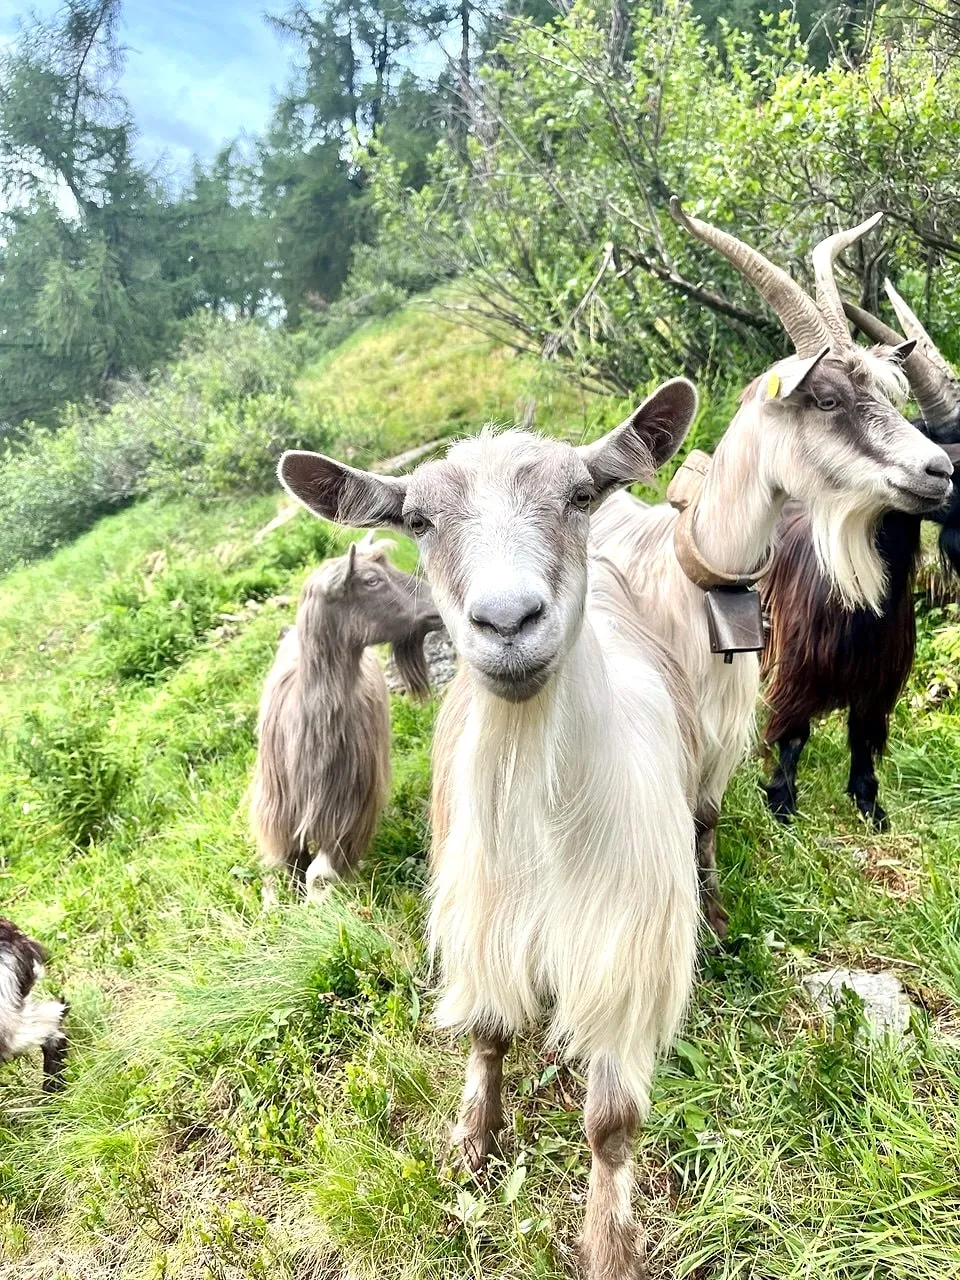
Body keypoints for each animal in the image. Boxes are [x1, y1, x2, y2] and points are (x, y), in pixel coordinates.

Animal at [249, 535, 441, 900]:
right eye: (371, 580)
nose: (438, 605)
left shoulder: (345, 816)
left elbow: (320, 874)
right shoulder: (281, 819)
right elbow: (296, 868)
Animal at [278, 378, 701, 1280]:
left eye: (579, 495)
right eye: (418, 520)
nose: (507, 622)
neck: (545, 827)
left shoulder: (626, 951)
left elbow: (611, 1123)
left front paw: (609, 1244)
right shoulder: (478, 915)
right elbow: (487, 1032)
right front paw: (473, 1142)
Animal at [762, 281, 960, 827]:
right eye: (945, 441)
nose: (939, 472)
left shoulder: (880, 682)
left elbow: (863, 736)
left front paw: (870, 804)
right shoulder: (796, 669)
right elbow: (793, 733)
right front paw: (782, 806)